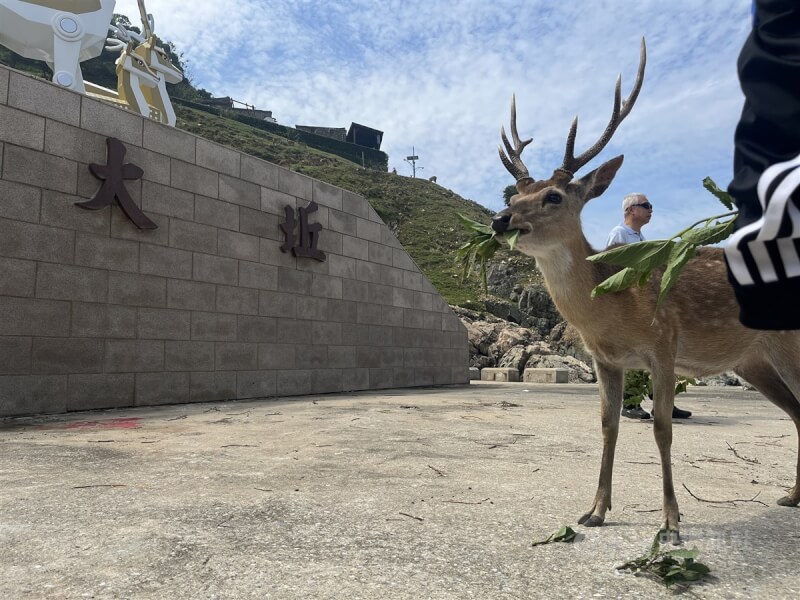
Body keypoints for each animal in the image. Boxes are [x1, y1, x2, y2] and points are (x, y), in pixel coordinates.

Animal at [494, 41, 800, 540]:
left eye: (553, 197)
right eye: (513, 197)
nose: (500, 220)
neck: (614, 311)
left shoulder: (664, 344)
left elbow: (662, 429)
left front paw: (671, 523)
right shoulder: (605, 361)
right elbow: (608, 426)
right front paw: (595, 511)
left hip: (789, 344)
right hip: (754, 360)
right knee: (796, 411)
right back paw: (791, 496)